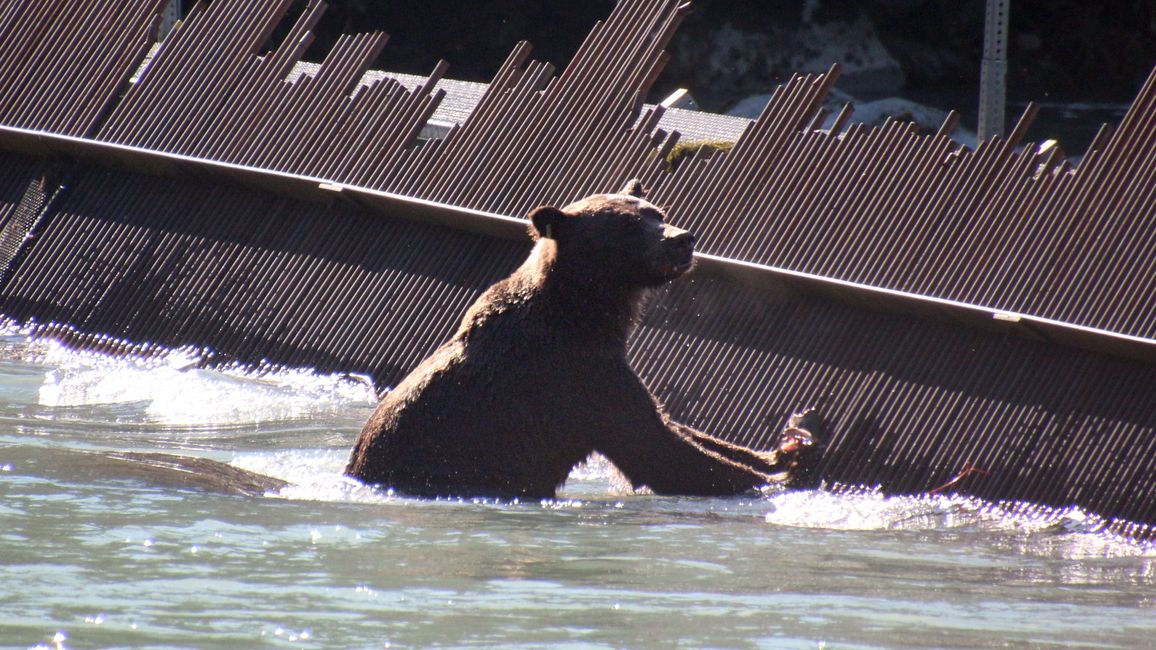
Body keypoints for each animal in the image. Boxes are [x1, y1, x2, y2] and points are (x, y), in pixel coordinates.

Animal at [344, 179, 823, 497]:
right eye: (627, 225)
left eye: (658, 212)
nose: (683, 239)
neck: (586, 313)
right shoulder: (576, 378)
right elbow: (654, 449)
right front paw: (780, 478)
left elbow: (670, 423)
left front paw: (788, 447)